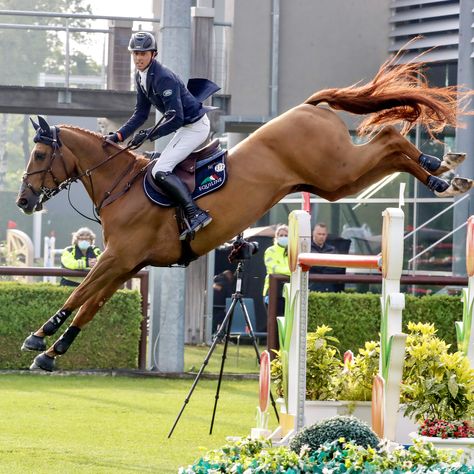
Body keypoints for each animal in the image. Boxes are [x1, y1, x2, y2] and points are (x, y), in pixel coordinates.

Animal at [16, 58, 472, 370]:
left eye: (38, 154)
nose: (23, 201)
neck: (120, 185)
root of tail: (309, 105)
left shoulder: (117, 257)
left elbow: (79, 292)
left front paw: (39, 338)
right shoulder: (127, 263)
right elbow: (90, 303)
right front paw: (53, 351)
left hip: (336, 170)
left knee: (391, 138)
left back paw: (440, 170)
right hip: (334, 182)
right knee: (389, 147)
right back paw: (445, 173)